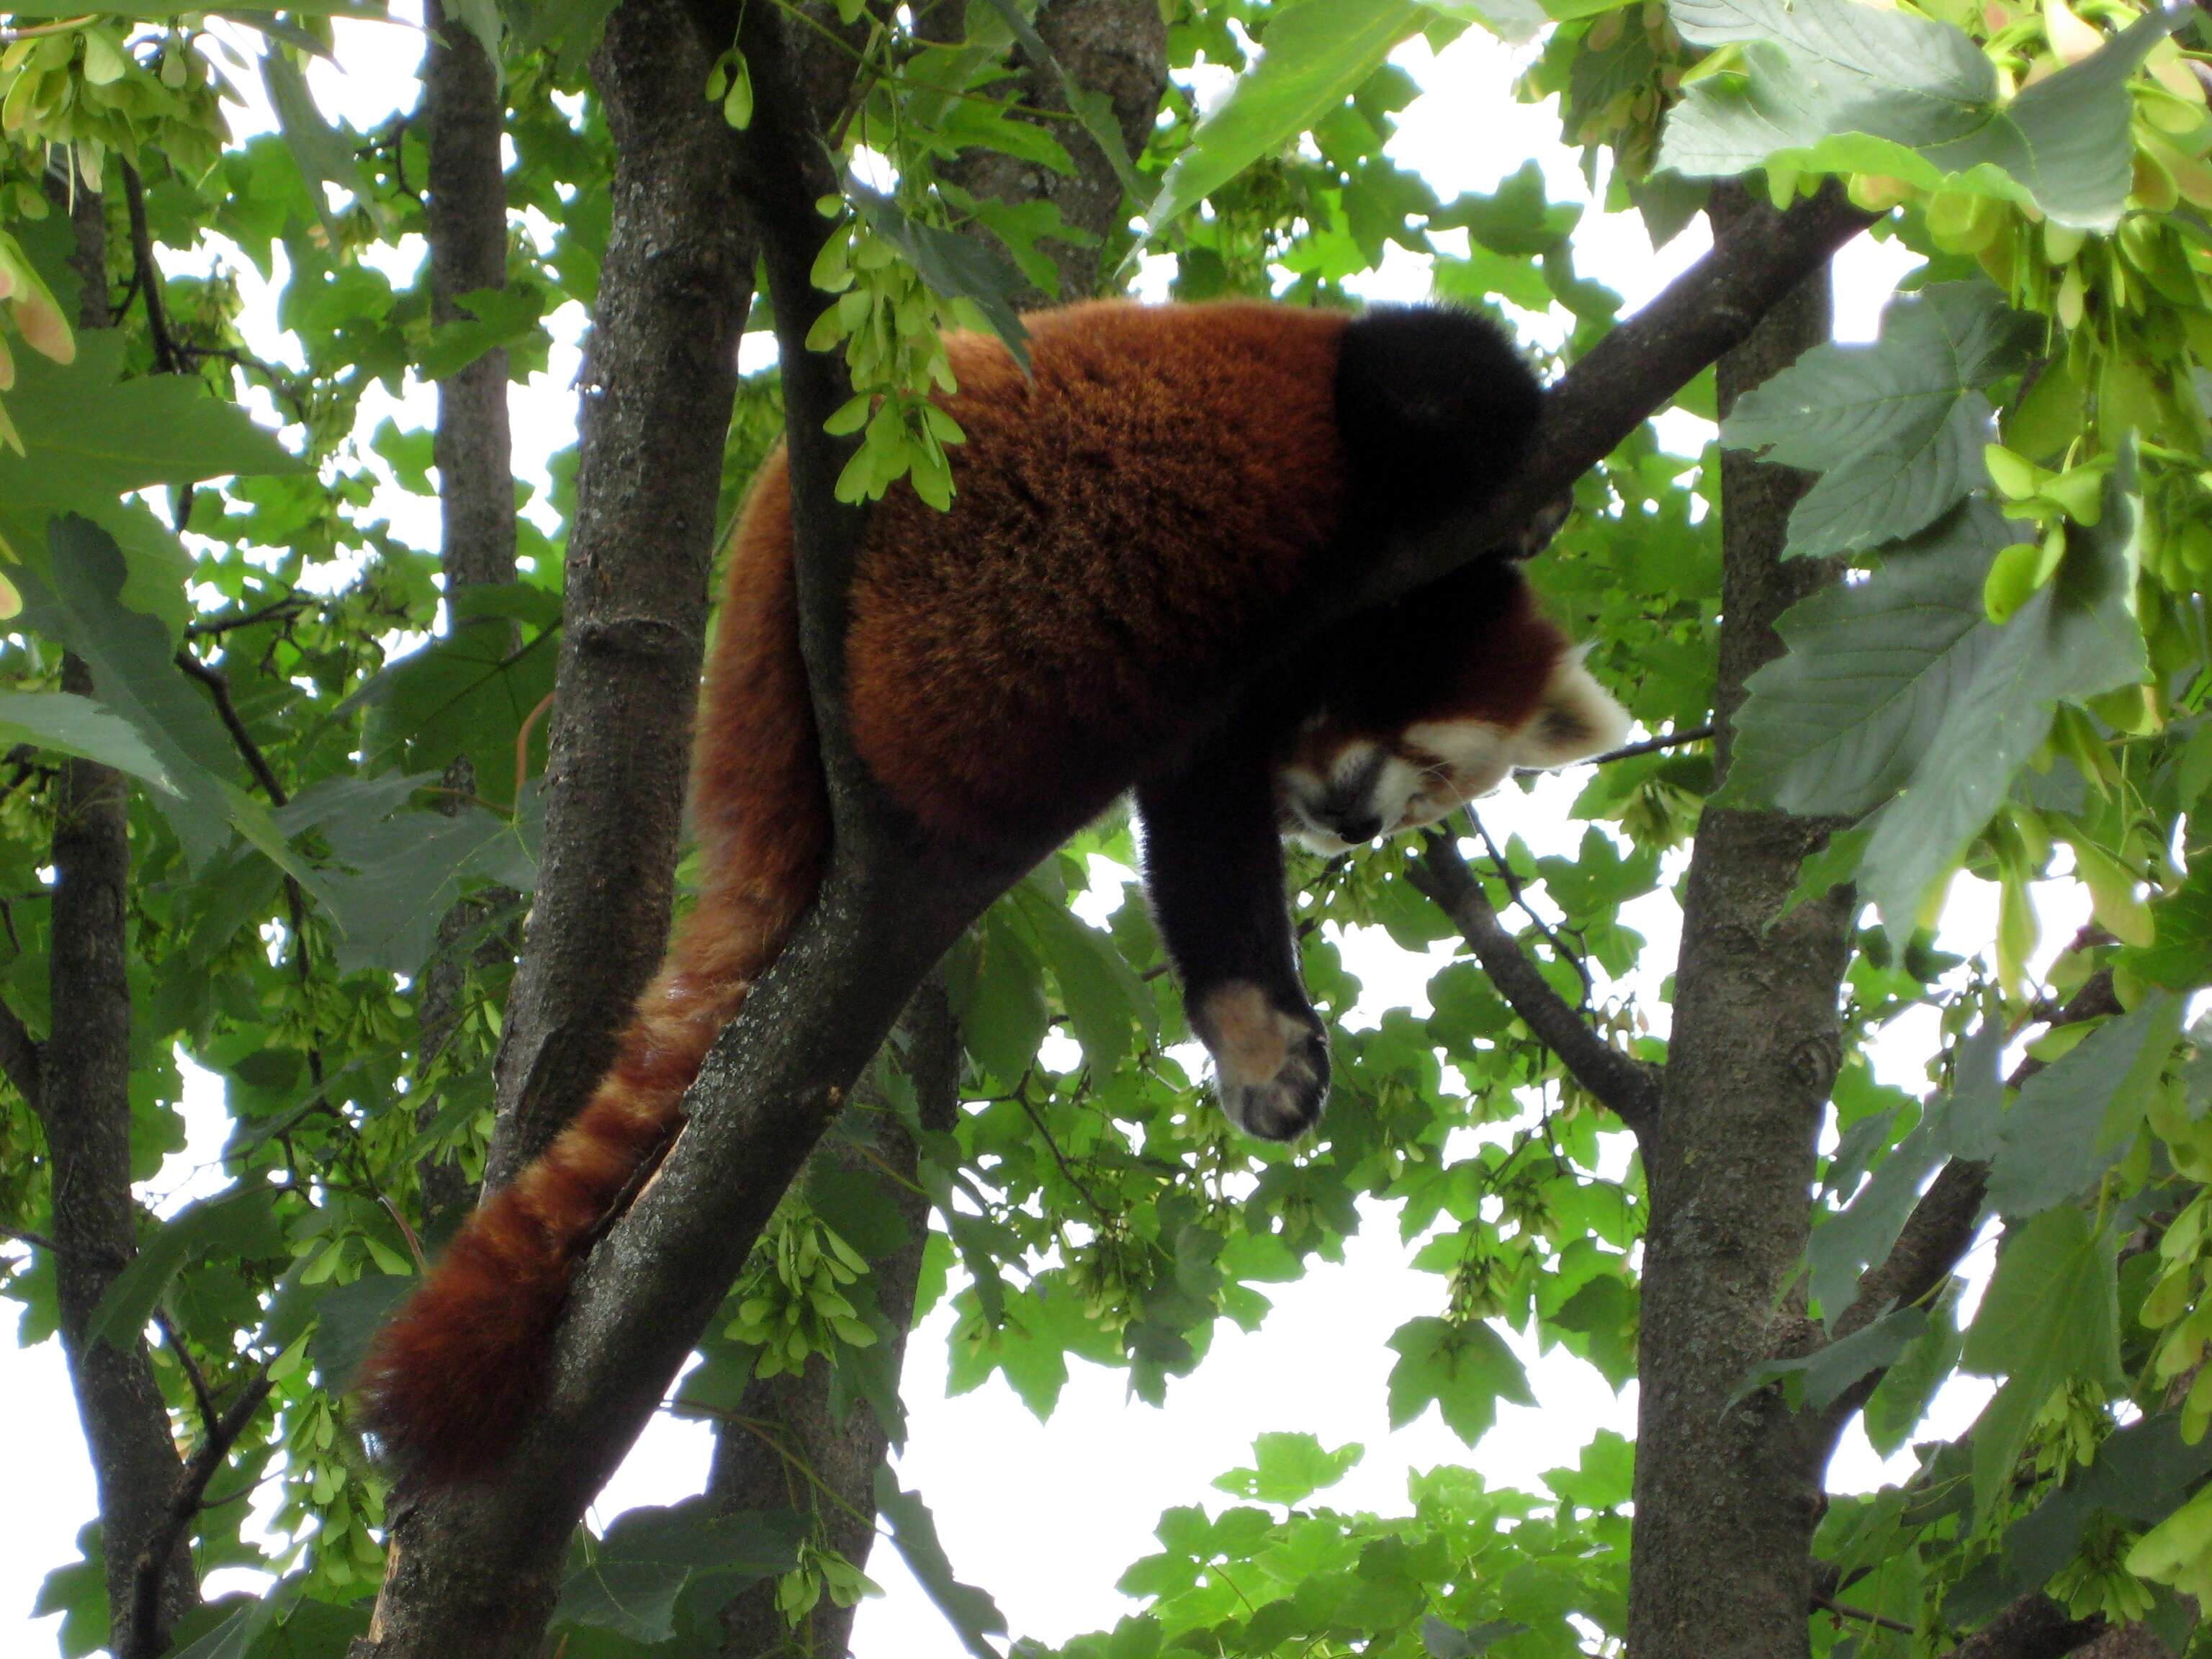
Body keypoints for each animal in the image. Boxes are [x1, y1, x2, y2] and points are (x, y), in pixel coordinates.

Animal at [349, 298, 1627, 1478]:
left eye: (1424, 805)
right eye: (1426, 769)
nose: (1354, 828)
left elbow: (1205, 860)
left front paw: (1257, 1040)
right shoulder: (1357, 414)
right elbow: (1440, 382)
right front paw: (1534, 505)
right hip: (963, 547)